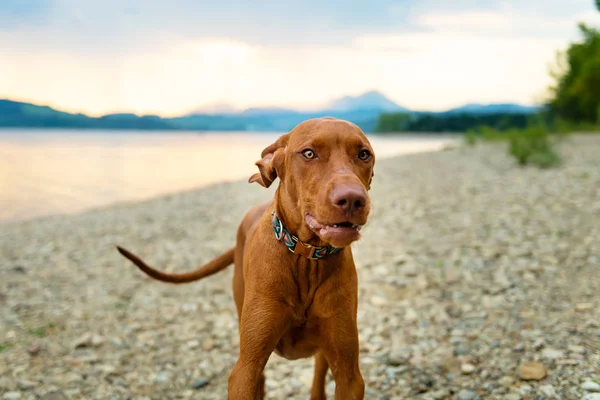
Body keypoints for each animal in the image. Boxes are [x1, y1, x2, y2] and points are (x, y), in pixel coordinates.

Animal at [116, 116, 376, 400]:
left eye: (364, 155)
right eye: (309, 153)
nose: (352, 199)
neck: (306, 259)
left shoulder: (349, 375)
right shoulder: (246, 368)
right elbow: (250, 373)